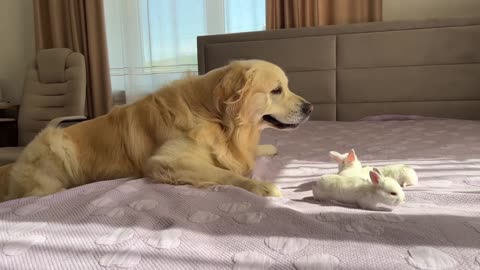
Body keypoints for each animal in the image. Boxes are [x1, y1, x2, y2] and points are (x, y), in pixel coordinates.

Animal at [0, 59, 312, 202]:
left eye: (287, 87)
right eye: (276, 90)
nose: (309, 107)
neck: (216, 116)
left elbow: (243, 155)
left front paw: (267, 148)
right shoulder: (166, 162)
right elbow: (225, 173)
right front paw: (261, 186)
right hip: (55, 143)